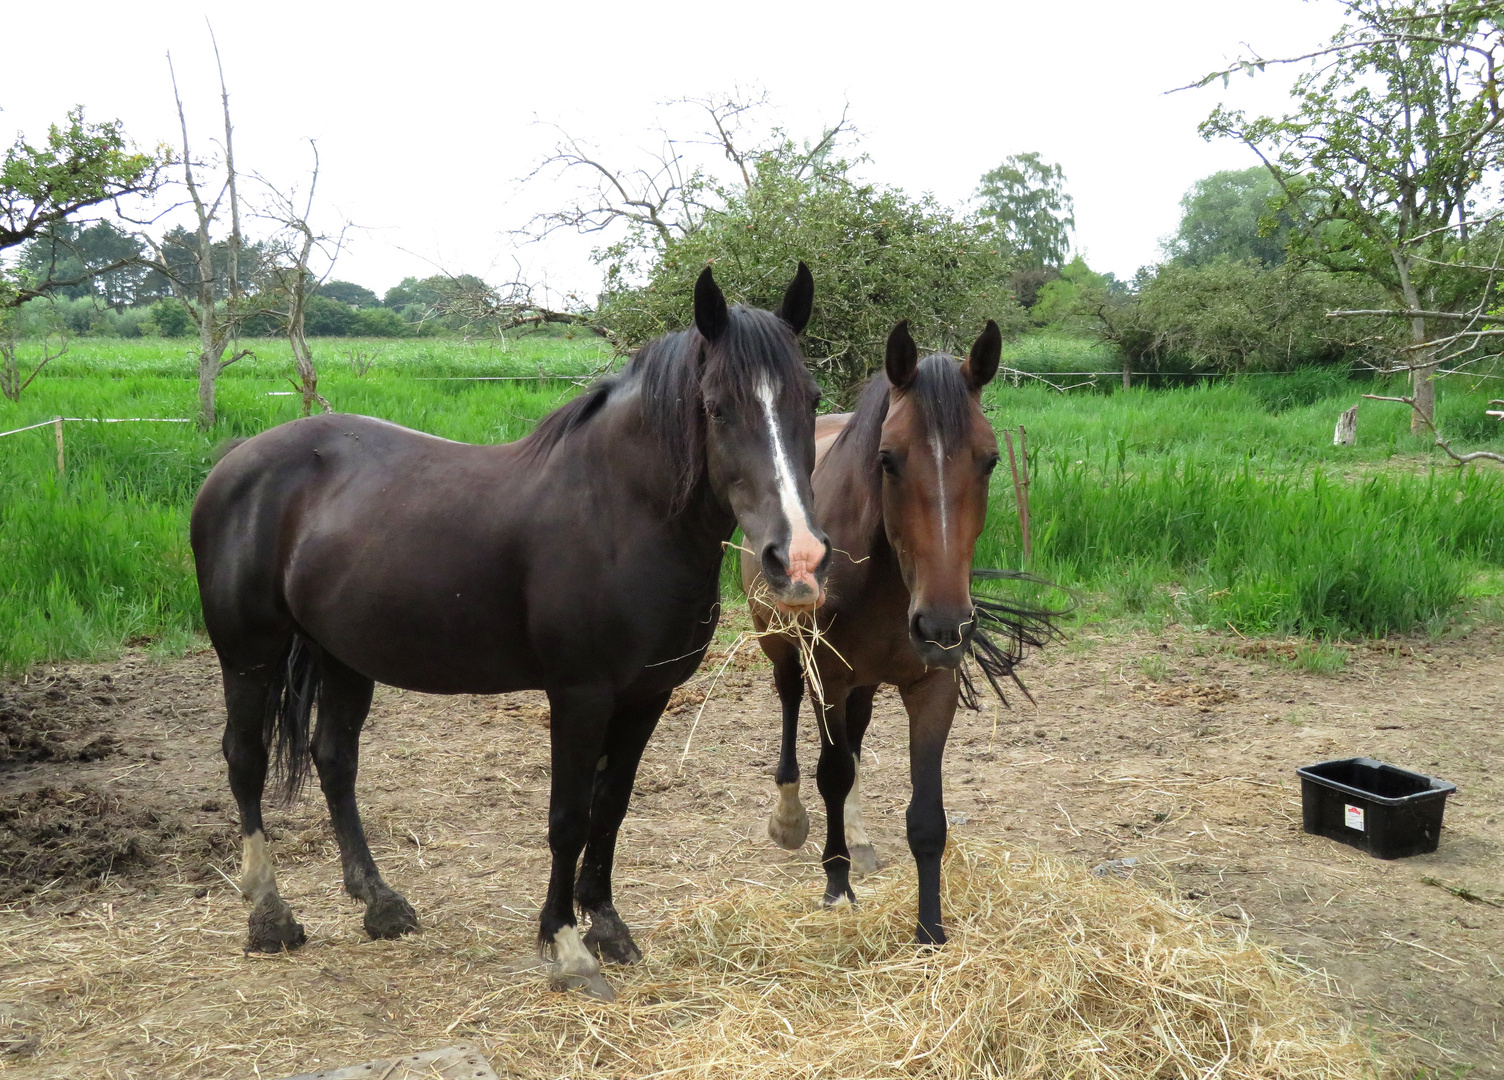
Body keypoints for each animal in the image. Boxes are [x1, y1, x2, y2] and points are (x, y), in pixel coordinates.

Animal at [192, 260, 830, 998]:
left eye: (811, 398)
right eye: (718, 406)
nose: (798, 557)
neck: (621, 514)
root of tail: (241, 459)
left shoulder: (647, 696)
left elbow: (612, 807)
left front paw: (607, 924)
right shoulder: (580, 694)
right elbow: (569, 817)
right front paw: (566, 945)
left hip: (342, 656)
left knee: (334, 760)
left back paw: (380, 903)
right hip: (249, 655)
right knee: (245, 759)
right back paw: (269, 914)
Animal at [739, 321, 1058, 950]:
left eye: (989, 461)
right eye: (887, 460)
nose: (941, 626)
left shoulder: (932, 687)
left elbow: (926, 815)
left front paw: (930, 931)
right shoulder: (830, 676)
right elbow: (831, 774)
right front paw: (836, 888)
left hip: (865, 682)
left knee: (857, 738)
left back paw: (859, 839)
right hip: (781, 644)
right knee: (790, 705)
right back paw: (789, 818)